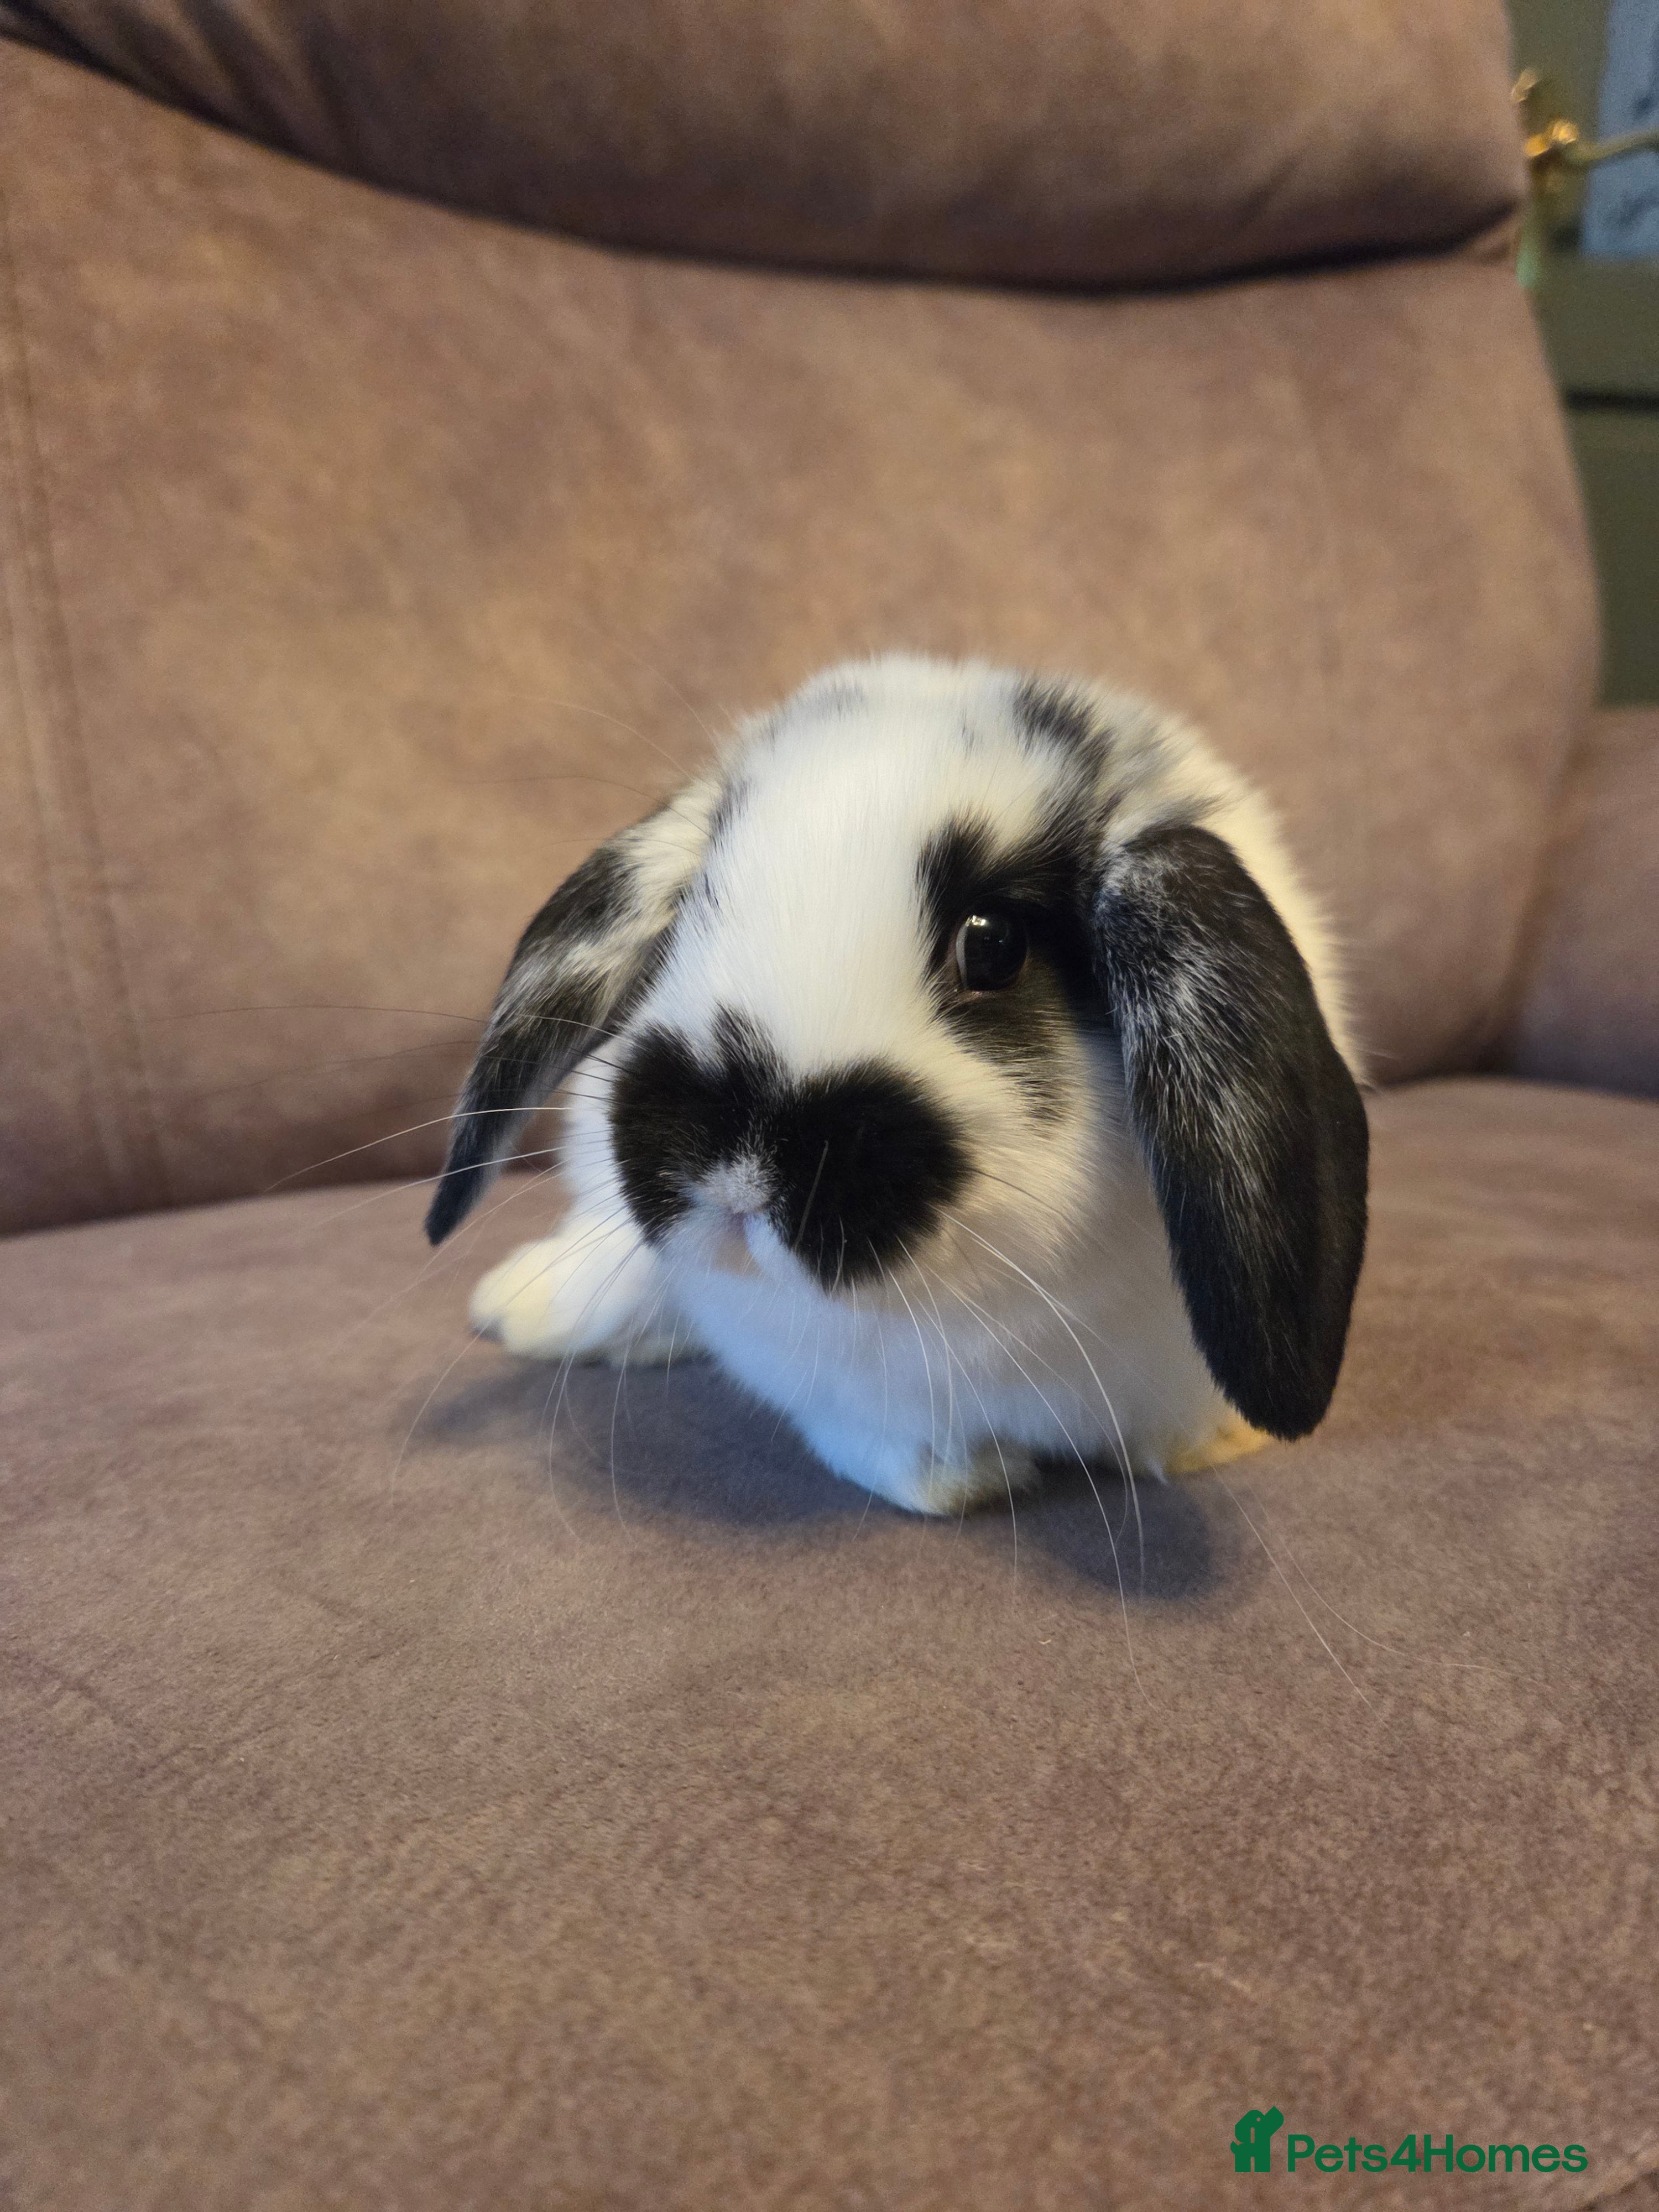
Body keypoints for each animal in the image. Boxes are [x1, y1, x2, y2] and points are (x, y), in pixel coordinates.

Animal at [425, 654, 1368, 1517]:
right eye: (690, 909)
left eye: (992, 943)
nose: (737, 1155)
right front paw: (958, 1485)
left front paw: (1207, 1447)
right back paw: (518, 1305)